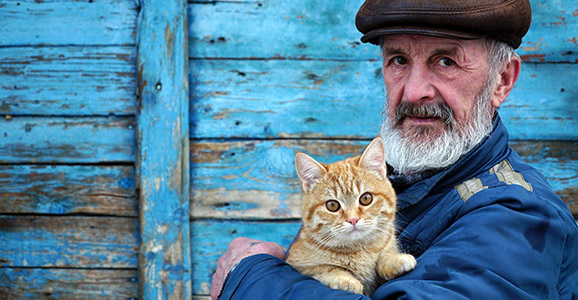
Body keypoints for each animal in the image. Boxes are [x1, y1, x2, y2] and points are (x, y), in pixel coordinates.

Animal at [284, 137, 414, 296]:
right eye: (332, 205)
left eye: (366, 198)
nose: (353, 219)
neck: (359, 249)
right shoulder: (296, 263)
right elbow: (324, 268)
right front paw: (345, 279)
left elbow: (384, 255)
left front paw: (394, 260)